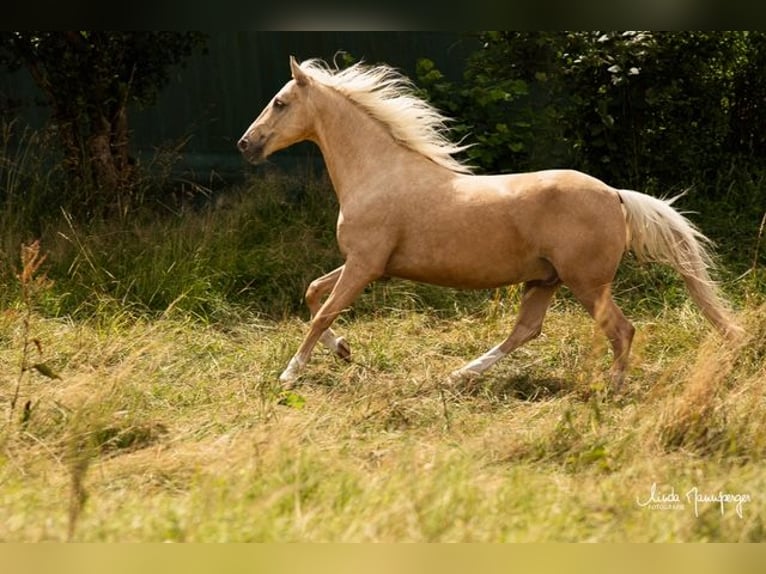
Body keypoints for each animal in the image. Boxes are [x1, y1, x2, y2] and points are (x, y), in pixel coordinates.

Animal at [240, 56, 744, 390]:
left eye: (280, 102)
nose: (246, 144)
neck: (378, 171)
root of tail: (616, 195)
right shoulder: (366, 265)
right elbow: (313, 293)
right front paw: (343, 350)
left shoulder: (365, 264)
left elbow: (324, 311)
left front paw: (289, 373)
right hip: (545, 280)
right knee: (526, 330)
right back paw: (459, 374)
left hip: (586, 283)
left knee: (620, 331)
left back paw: (611, 389)